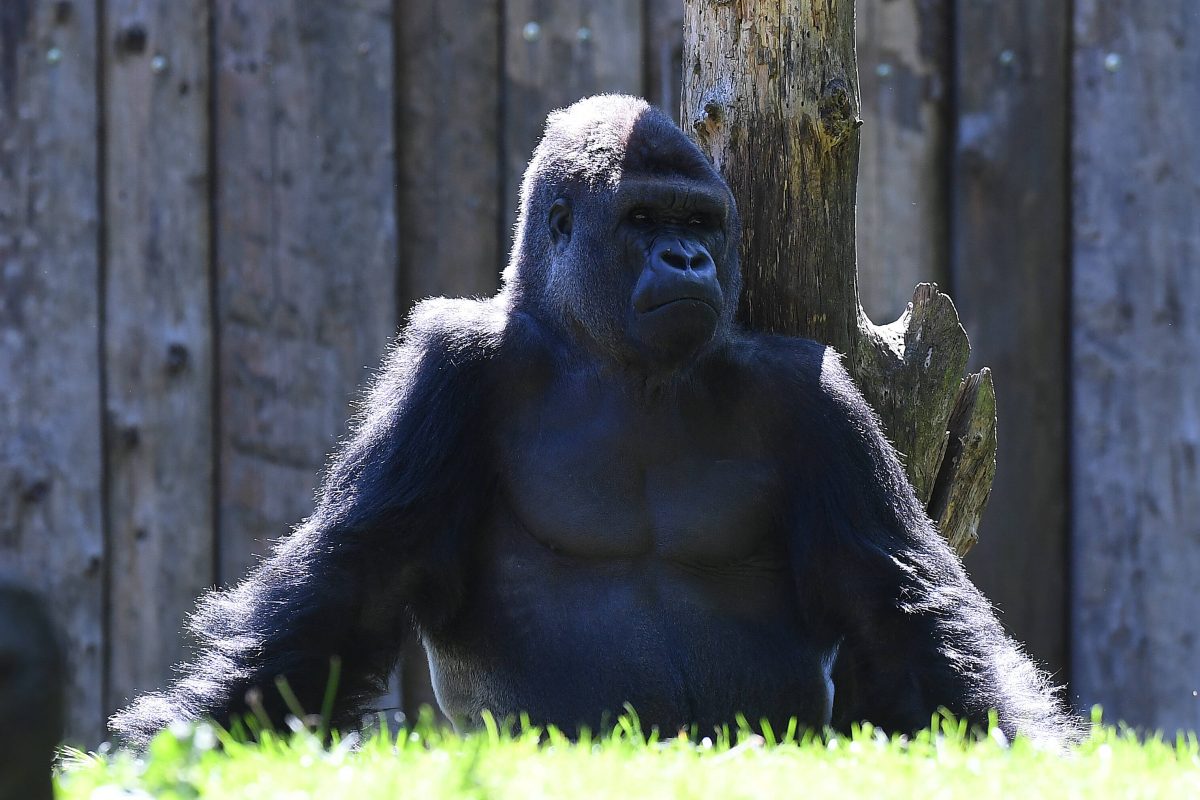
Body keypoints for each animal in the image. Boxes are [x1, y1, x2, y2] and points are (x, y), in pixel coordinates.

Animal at [112, 95, 1075, 753]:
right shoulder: (443, 372)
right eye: (644, 220)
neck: (604, 351)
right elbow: (347, 592)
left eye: (700, 222)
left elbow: (902, 606)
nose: (687, 259)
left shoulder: (819, 395)